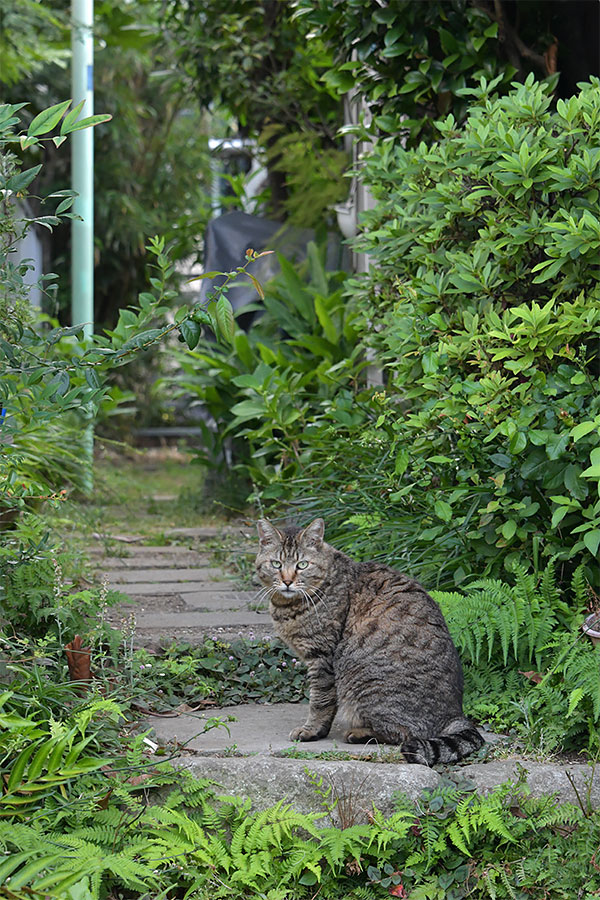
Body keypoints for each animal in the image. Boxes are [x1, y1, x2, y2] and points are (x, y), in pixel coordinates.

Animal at [255, 516, 486, 764]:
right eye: (276, 564)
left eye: (302, 565)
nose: (287, 581)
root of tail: (455, 713)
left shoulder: (322, 657)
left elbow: (320, 701)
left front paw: (311, 730)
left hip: (366, 685)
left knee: (402, 733)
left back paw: (359, 733)